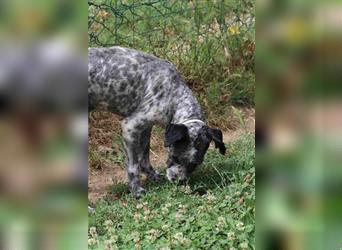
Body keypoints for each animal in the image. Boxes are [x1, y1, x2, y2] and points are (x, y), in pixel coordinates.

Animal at [89, 46, 226, 196]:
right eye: (175, 157)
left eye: (195, 164)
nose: (178, 181)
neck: (174, 96)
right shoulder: (130, 127)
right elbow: (133, 166)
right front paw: (136, 190)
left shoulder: (145, 128)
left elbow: (144, 157)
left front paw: (153, 176)